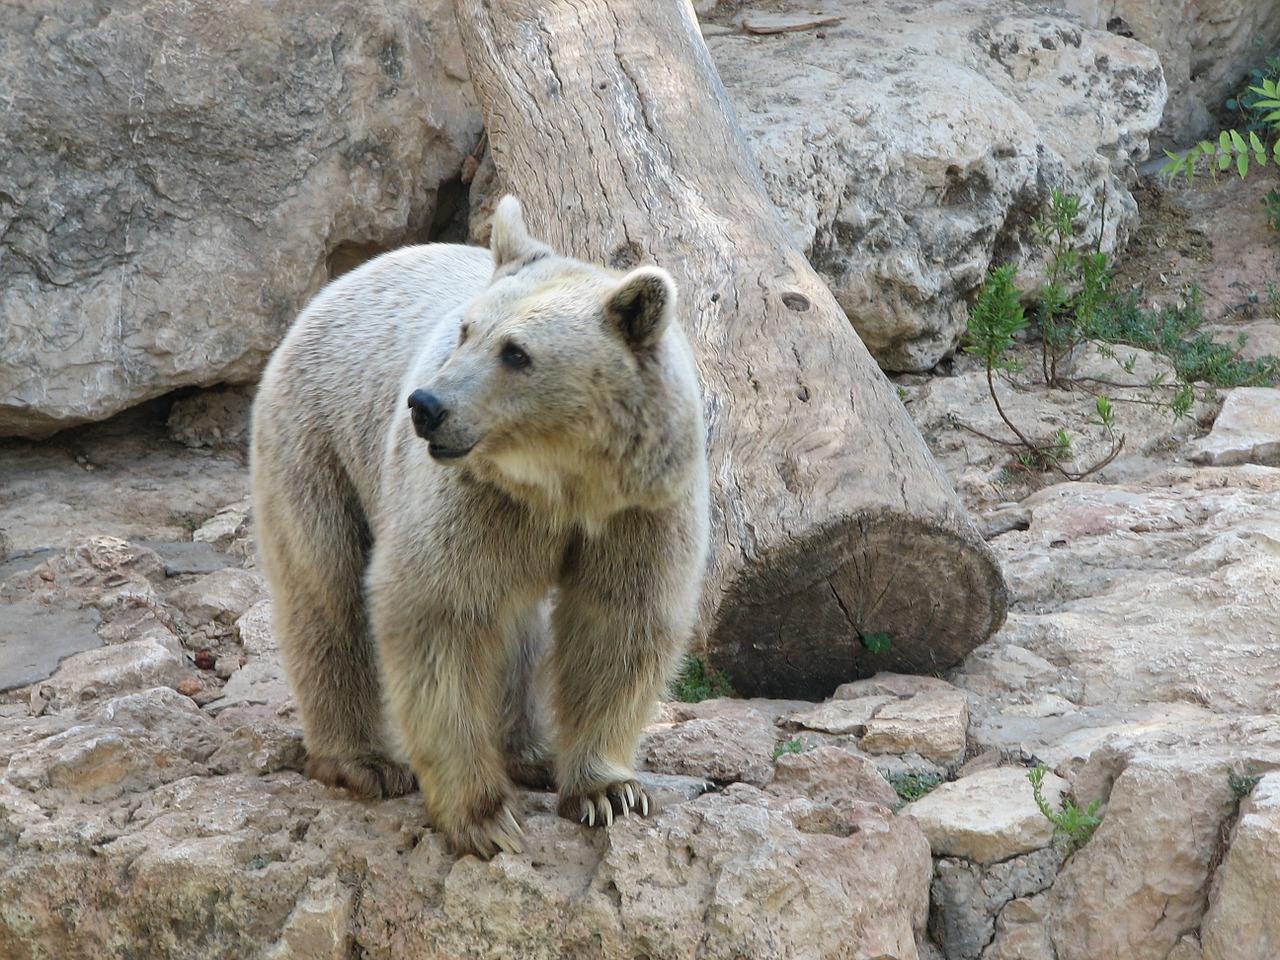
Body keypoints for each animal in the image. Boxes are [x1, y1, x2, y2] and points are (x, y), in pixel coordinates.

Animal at [249, 195, 711, 855]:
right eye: (467, 330)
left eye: (516, 352)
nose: (426, 405)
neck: (565, 484)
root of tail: (336, 284)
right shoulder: (477, 497)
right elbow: (441, 615)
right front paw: (485, 816)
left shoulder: (644, 506)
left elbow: (619, 622)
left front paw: (609, 791)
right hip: (319, 439)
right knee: (325, 589)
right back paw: (361, 760)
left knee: (518, 631)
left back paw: (531, 752)